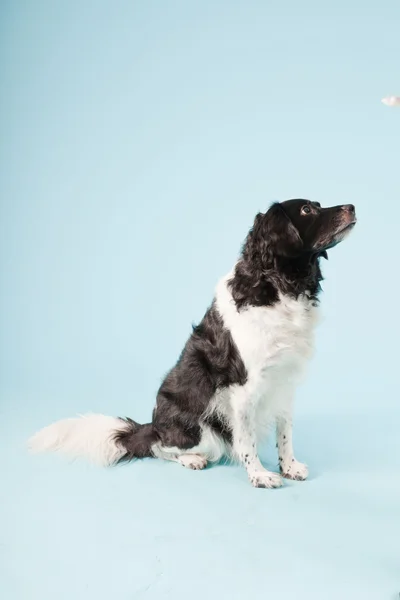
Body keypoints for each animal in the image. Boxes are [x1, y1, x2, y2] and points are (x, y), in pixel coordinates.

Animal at [29, 200, 358, 488]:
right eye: (307, 209)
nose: (352, 207)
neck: (279, 285)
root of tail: (150, 425)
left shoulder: (285, 381)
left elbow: (285, 431)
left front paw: (288, 466)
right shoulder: (243, 388)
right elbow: (247, 440)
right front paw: (259, 475)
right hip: (199, 429)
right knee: (158, 447)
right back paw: (190, 459)